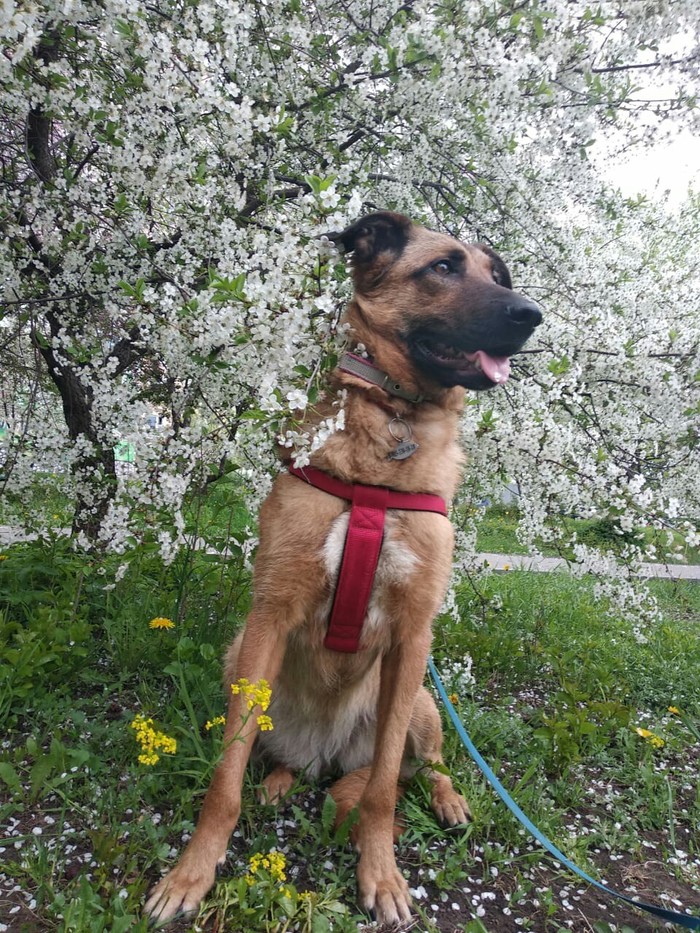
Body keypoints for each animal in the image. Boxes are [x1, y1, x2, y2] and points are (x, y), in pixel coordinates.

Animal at [146, 209, 540, 924]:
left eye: (498, 276)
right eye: (443, 267)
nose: (532, 314)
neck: (393, 426)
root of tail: (327, 755)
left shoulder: (414, 638)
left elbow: (383, 789)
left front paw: (380, 872)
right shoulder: (269, 615)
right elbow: (225, 777)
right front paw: (191, 874)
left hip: (420, 702)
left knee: (424, 765)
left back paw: (446, 800)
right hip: (240, 657)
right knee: (286, 763)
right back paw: (280, 781)